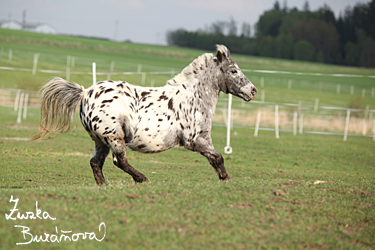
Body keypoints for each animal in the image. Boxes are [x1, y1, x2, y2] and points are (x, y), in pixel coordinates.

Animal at [33, 45, 258, 185]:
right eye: (234, 71)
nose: (253, 91)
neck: (192, 97)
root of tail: (86, 92)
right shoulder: (195, 140)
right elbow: (218, 157)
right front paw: (227, 179)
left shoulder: (203, 139)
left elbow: (215, 158)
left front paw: (225, 178)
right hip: (114, 136)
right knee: (119, 161)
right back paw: (143, 179)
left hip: (100, 140)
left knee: (96, 163)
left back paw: (105, 186)